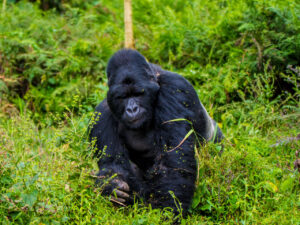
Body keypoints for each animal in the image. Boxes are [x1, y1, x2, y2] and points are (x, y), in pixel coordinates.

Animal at [89, 48, 223, 214]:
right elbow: (112, 164)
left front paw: (166, 212)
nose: (132, 109)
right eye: (123, 97)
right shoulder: (101, 114)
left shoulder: (174, 89)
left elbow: (173, 160)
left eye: (138, 93)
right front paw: (113, 185)